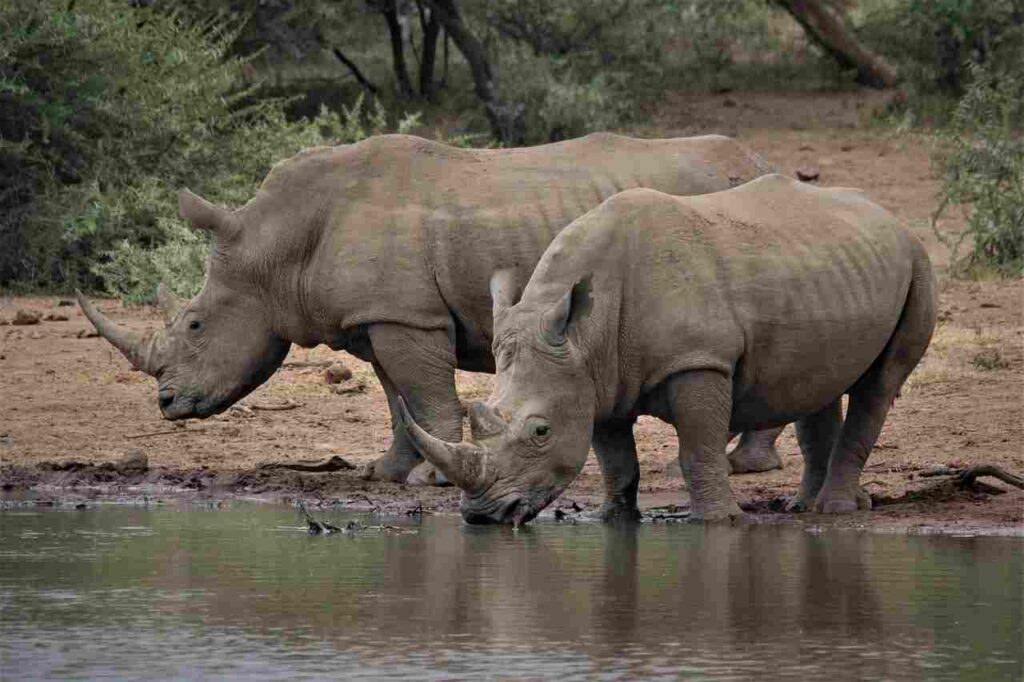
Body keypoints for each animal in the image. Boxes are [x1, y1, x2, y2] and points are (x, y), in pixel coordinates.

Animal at [77, 132, 784, 494]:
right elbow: (399, 400)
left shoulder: (406, 315)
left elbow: (424, 393)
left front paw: (433, 481)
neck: (277, 243)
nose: (166, 404)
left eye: (196, 324)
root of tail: (759, 160)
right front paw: (387, 473)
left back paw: (739, 466)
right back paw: (746, 461)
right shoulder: (380, 315)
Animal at [400, 174, 936, 524]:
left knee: (880, 384)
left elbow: (697, 447)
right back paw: (807, 507)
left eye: (540, 431)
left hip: (917, 260)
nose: (482, 516)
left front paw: (717, 522)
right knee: (817, 383)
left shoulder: (697, 361)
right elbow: (615, 459)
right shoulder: (595, 377)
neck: (583, 335)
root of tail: (891, 218)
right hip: (831, 267)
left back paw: (835, 509)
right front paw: (613, 519)